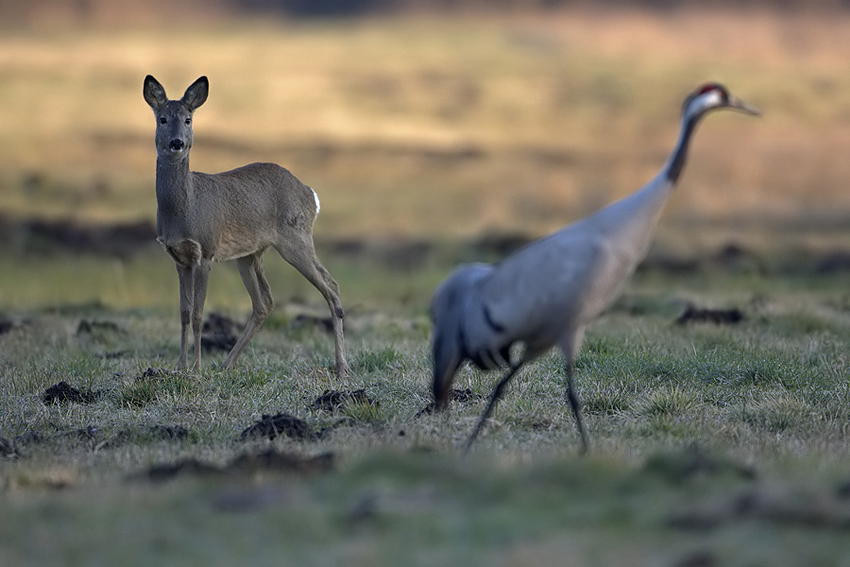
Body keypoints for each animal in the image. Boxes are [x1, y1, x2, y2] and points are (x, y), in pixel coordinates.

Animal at [142, 75, 348, 378]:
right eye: (163, 119)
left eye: (189, 119)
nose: (177, 142)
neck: (185, 209)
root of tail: (311, 194)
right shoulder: (179, 258)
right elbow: (183, 313)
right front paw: (180, 367)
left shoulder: (205, 251)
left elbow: (199, 314)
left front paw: (197, 369)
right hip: (251, 254)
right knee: (265, 302)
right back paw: (227, 364)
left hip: (295, 239)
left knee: (330, 288)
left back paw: (342, 366)